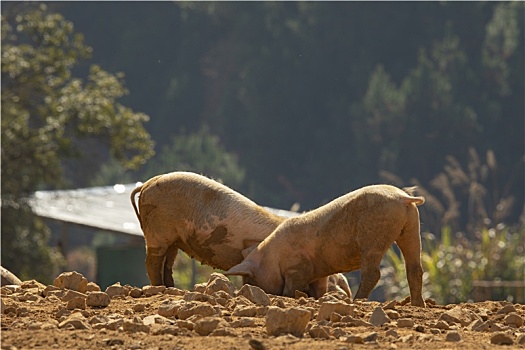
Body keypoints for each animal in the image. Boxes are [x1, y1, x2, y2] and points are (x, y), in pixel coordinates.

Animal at [129, 171, 350, 296]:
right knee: (152, 261)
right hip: (158, 231)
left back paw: (172, 288)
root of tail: (148, 183)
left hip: (173, 239)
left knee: (168, 262)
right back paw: (160, 288)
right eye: (334, 281)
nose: (344, 295)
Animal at [225, 183, 426, 306]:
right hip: (411, 226)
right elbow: (319, 288)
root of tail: (402, 198)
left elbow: (292, 287)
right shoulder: (317, 274)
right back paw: (418, 305)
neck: (272, 258)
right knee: (415, 268)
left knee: (373, 273)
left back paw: (357, 300)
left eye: (251, 280)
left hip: (374, 236)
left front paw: (289, 296)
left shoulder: (296, 268)